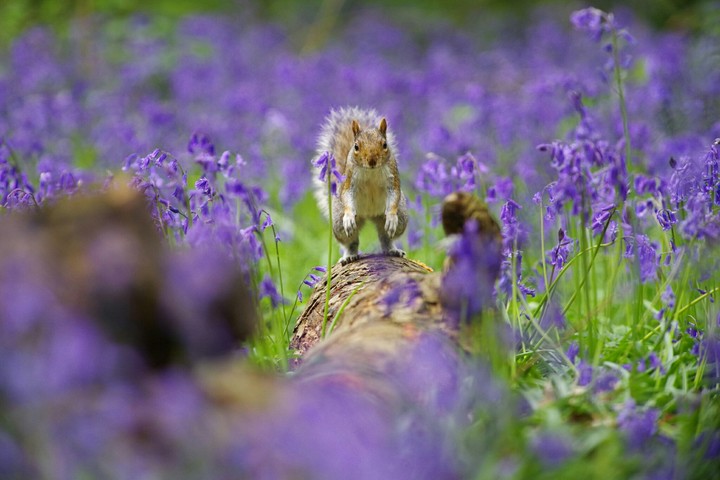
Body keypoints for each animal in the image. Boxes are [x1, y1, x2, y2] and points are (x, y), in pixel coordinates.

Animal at [313, 107, 408, 265]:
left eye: (385, 145)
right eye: (356, 146)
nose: (372, 160)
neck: (371, 171)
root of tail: (370, 215)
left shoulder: (393, 178)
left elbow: (394, 195)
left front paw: (391, 217)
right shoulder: (349, 180)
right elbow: (346, 195)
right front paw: (349, 216)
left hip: (400, 218)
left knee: (386, 237)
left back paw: (392, 249)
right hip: (339, 223)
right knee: (351, 242)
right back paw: (349, 255)